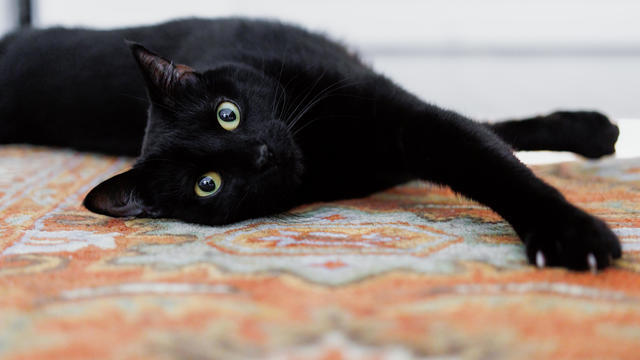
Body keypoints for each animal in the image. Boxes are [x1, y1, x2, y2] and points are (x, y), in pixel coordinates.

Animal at [0, 17, 620, 270]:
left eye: (228, 115)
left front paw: (570, 231)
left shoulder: (404, 119)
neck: (326, 153)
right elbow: (491, 144)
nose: (261, 153)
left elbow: (493, 159)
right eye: (207, 185)